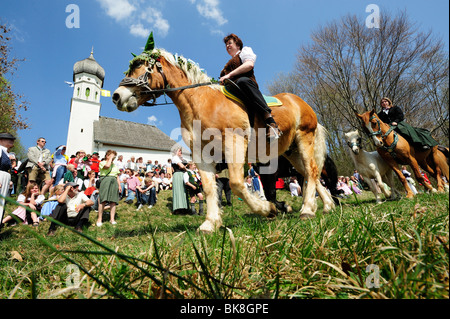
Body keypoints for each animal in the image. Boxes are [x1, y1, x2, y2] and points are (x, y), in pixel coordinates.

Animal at [112, 37, 334, 234]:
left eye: (140, 65)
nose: (116, 96)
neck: (201, 102)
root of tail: (301, 103)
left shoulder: (234, 144)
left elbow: (236, 184)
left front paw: (267, 209)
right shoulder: (202, 155)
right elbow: (210, 188)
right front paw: (210, 223)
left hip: (304, 138)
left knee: (312, 171)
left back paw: (307, 209)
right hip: (291, 151)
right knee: (310, 174)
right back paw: (325, 206)